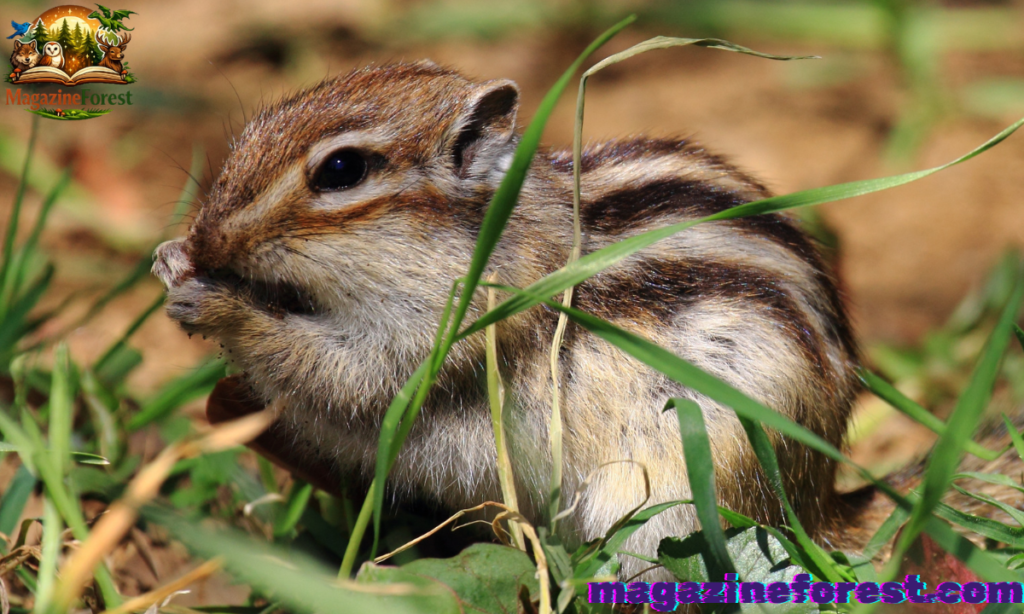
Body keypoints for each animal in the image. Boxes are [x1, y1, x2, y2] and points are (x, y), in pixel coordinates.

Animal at [151, 61, 1018, 580]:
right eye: (253, 130)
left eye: (341, 170)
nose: (206, 238)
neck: (487, 237)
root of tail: (819, 505)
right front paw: (172, 261)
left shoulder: (447, 340)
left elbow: (340, 383)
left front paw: (217, 303)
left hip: (668, 506)